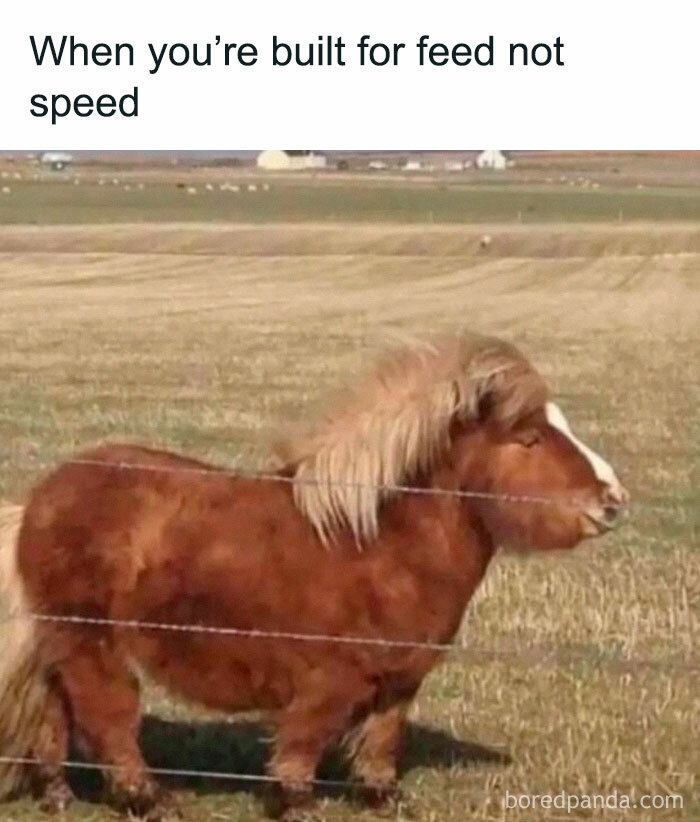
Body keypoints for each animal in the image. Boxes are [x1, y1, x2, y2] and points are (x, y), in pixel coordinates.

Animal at [0, 330, 628, 820]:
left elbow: (382, 740)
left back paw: (56, 794)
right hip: (90, 641)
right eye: (530, 438)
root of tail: (40, 498)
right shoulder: (330, 679)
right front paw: (297, 803)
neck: (377, 541)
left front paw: (383, 798)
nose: (614, 501)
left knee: (54, 715)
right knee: (107, 716)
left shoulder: (399, 678)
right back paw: (146, 798)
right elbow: (303, 745)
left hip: (63, 644)